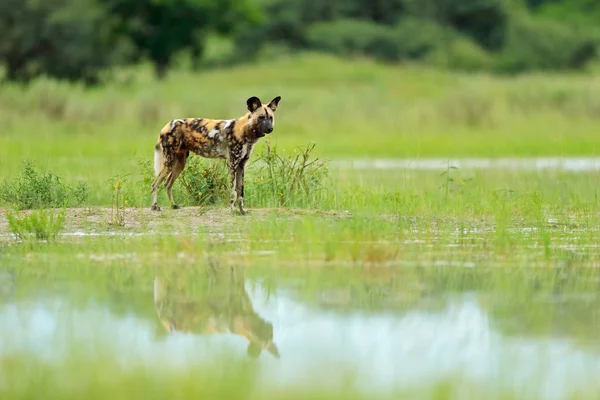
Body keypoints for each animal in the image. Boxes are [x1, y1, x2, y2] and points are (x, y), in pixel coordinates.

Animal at [150, 95, 282, 214]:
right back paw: (154, 207)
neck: (245, 131)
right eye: (261, 117)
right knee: (155, 184)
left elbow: (240, 192)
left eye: (270, 118)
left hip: (180, 163)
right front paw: (233, 210)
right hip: (169, 161)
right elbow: (233, 192)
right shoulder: (232, 164)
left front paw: (242, 210)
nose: (270, 129)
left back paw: (173, 205)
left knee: (167, 184)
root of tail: (167, 125)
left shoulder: (241, 166)